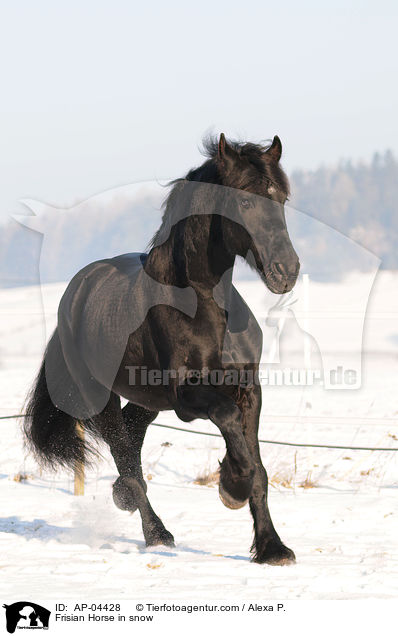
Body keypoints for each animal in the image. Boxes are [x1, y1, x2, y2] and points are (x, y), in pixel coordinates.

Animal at [24, 134, 298, 568]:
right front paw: (231, 488)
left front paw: (272, 548)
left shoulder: (249, 390)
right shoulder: (187, 395)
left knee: (132, 444)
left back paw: (123, 498)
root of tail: (76, 293)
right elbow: (228, 422)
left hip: (147, 400)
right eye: (245, 202)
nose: (286, 272)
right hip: (101, 399)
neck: (204, 305)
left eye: (282, 199)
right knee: (126, 456)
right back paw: (157, 533)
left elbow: (259, 466)